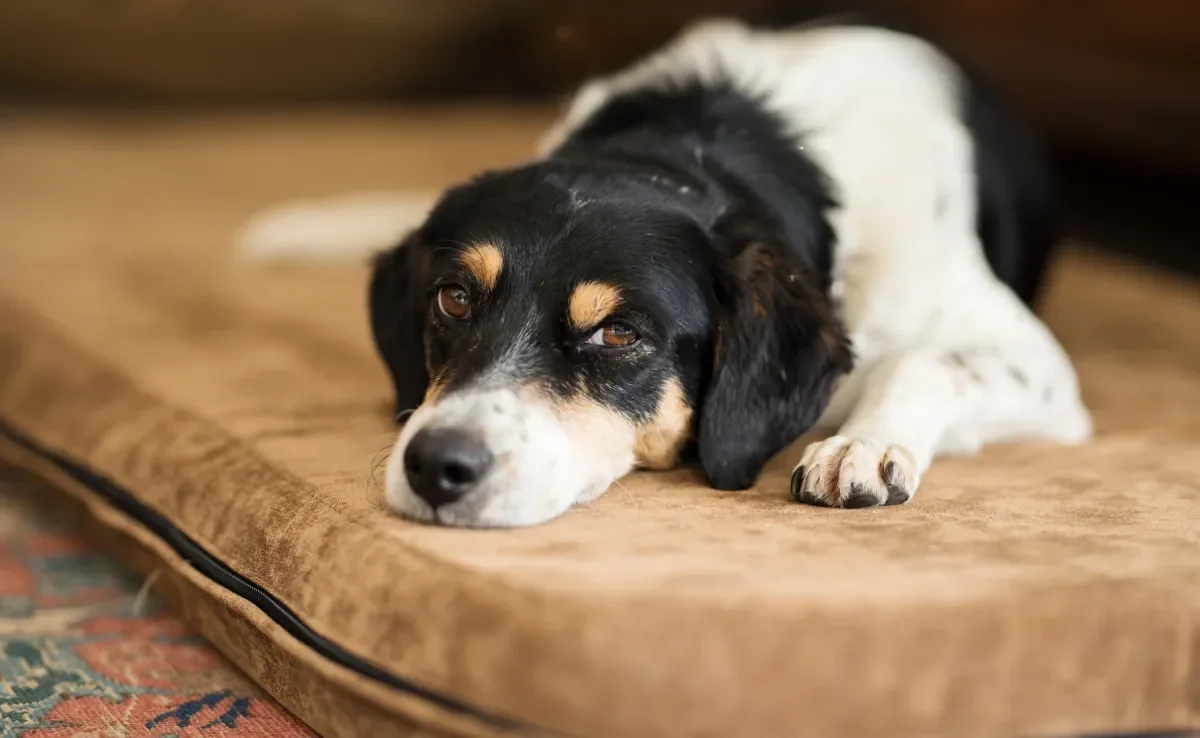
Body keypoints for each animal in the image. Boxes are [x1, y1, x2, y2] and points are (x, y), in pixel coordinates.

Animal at [238, 17, 1094, 525]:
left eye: (618, 335)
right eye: (453, 298)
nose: (436, 466)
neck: (696, 148)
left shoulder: (1037, 363)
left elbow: (923, 362)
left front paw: (861, 445)